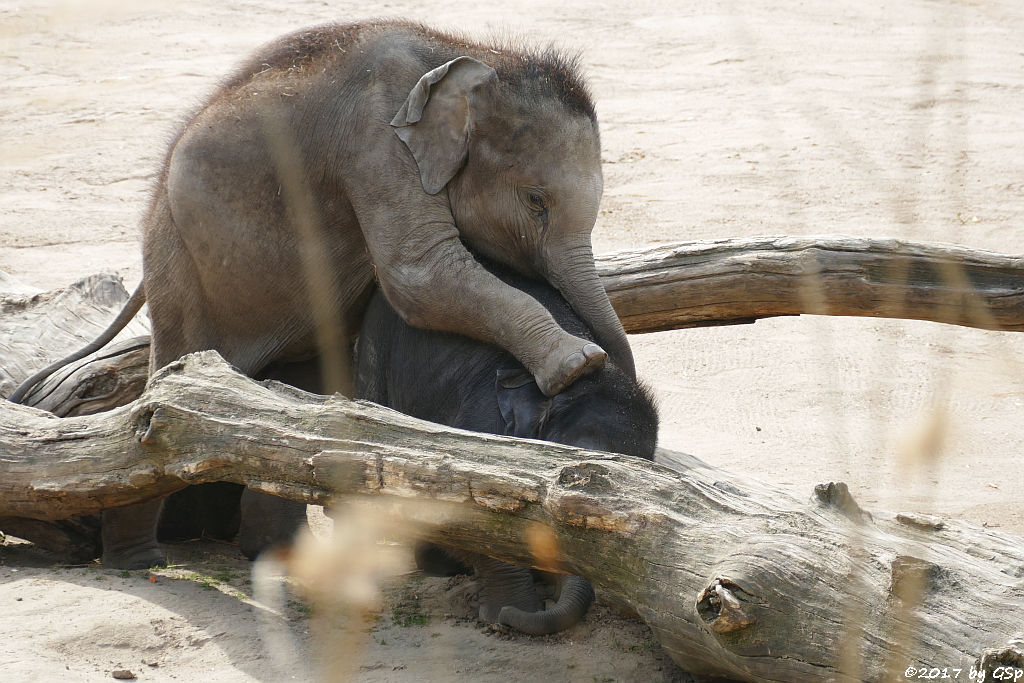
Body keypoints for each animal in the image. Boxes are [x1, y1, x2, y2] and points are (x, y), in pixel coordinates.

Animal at [12, 21, 634, 569]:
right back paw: (139, 563)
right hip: (178, 265)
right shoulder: (374, 141)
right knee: (167, 381)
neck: (474, 54)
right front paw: (579, 363)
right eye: (536, 201)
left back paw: (274, 557)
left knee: (292, 391)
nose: (617, 378)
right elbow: (419, 274)